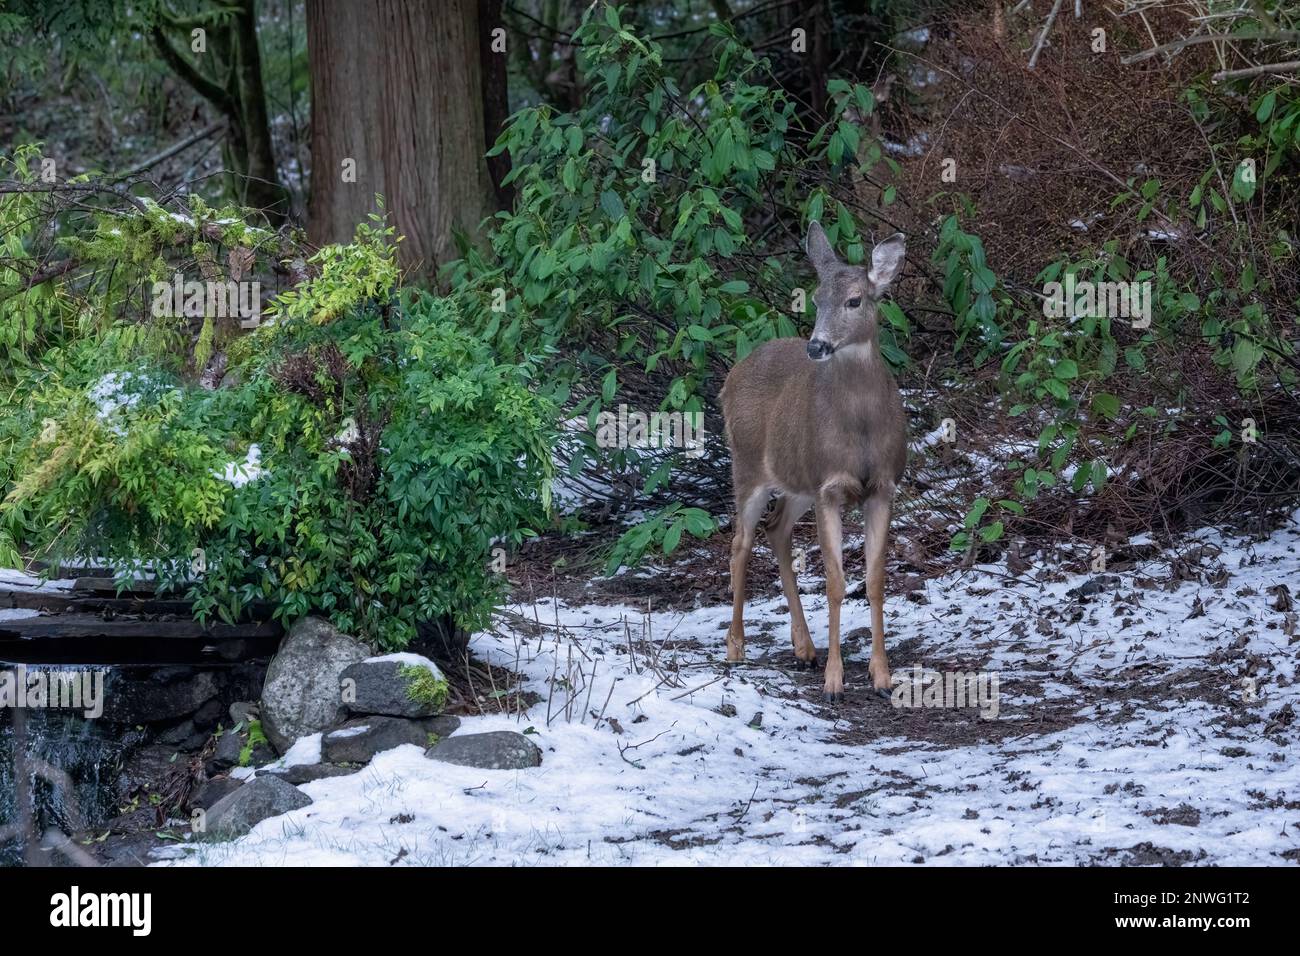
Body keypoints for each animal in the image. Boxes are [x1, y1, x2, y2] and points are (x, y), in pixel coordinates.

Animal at [722, 222, 904, 702]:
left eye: (855, 300)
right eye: (817, 298)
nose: (817, 346)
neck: (861, 429)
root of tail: (731, 375)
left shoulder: (882, 487)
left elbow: (875, 581)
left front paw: (882, 677)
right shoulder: (830, 487)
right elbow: (836, 582)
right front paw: (835, 682)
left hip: (798, 481)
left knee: (776, 529)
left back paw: (804, 647)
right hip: (747, 465)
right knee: (740, 543)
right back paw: (735, 646)